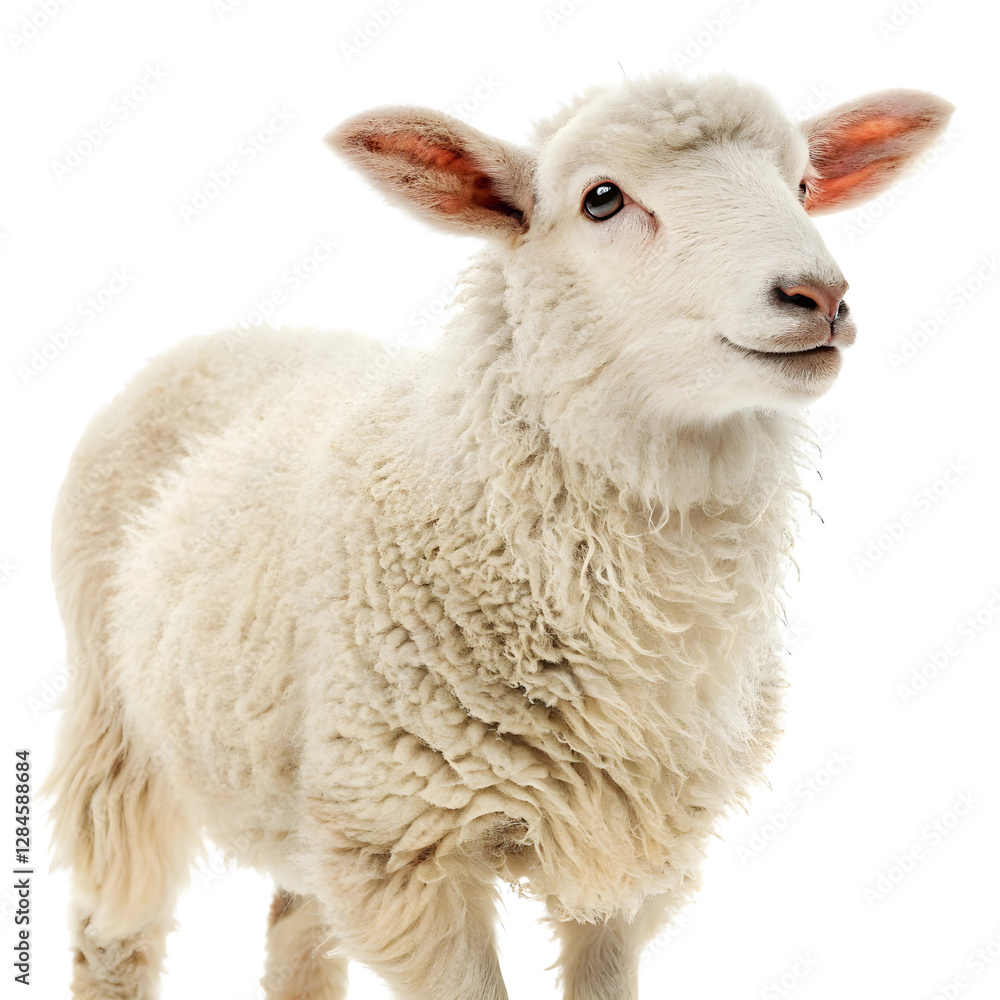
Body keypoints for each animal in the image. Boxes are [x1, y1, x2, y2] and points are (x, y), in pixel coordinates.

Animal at [47, 71, 953, 1000]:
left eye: (803, 185)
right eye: (601, 199)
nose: (820, 298)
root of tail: (235, 333)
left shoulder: (625, 849)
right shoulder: (404, 850)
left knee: (295, 930)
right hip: (117, 727)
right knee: (113, 928)